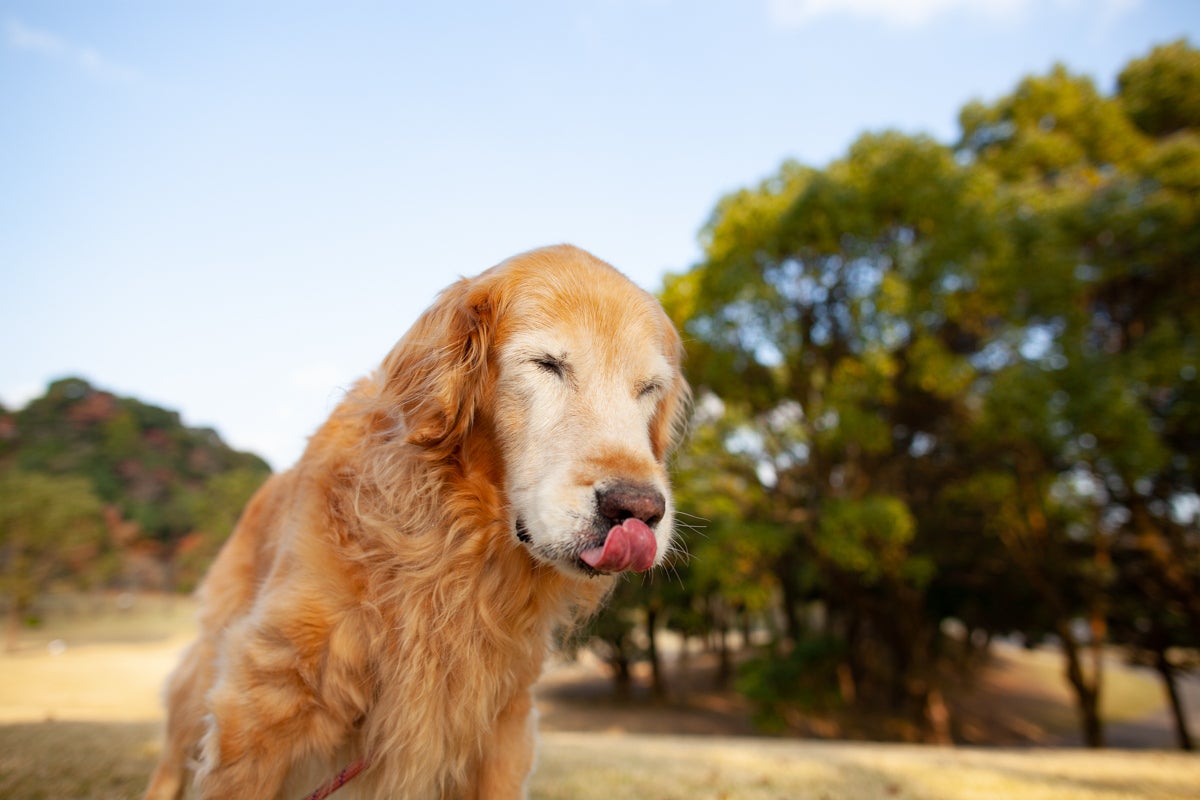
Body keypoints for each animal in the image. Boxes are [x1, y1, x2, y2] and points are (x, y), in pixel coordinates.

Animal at [143, 245, 690, 799]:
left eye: (648, 388)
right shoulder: (264, 699)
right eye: (546, 364)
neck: (455, 548)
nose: (639, 509)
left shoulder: (501, 728)